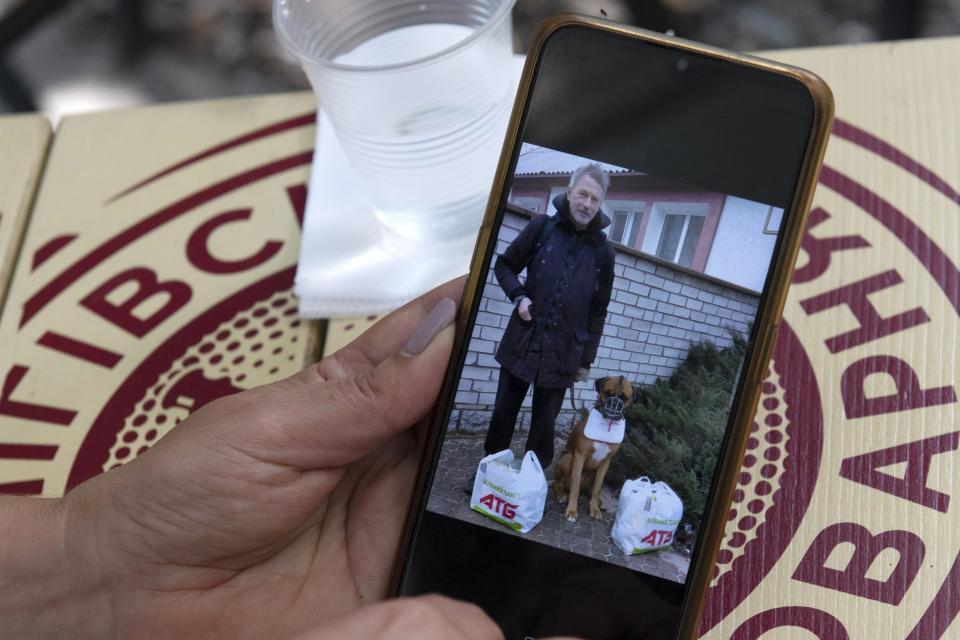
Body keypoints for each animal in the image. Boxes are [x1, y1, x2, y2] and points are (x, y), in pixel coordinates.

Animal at [552, 378, 632, 524]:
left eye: (624, 397)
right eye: (608, 393)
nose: (614, 405)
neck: (607, 425)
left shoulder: (606, 462)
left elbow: (597, 488)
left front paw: (594, 508)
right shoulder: (579, 456)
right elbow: (575, 487)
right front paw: (572, 511)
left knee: (591, 490)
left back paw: (599, 502)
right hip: (568, 458)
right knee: (559, 483)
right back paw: (561, 495)